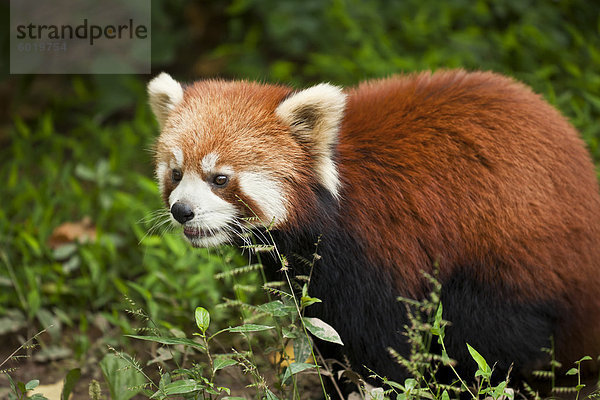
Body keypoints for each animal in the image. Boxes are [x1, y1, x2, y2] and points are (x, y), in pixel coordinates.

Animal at [148, 70, 600, 390]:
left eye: (220, 179)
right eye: (176, 173)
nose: (182, 211)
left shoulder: (380, 251)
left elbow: (384, 348)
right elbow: (329, 338)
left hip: (514, 257)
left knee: (496, 338)